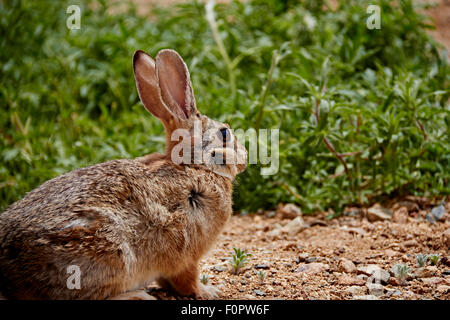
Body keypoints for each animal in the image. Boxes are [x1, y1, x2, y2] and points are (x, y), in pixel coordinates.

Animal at [0, 49, 246, 300]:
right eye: (224, 133)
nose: (244, 159)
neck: (194, 167)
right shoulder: (186, 256)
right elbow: (187, 281)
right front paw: (209, 291)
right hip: (105, 251)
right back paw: (137, 295)